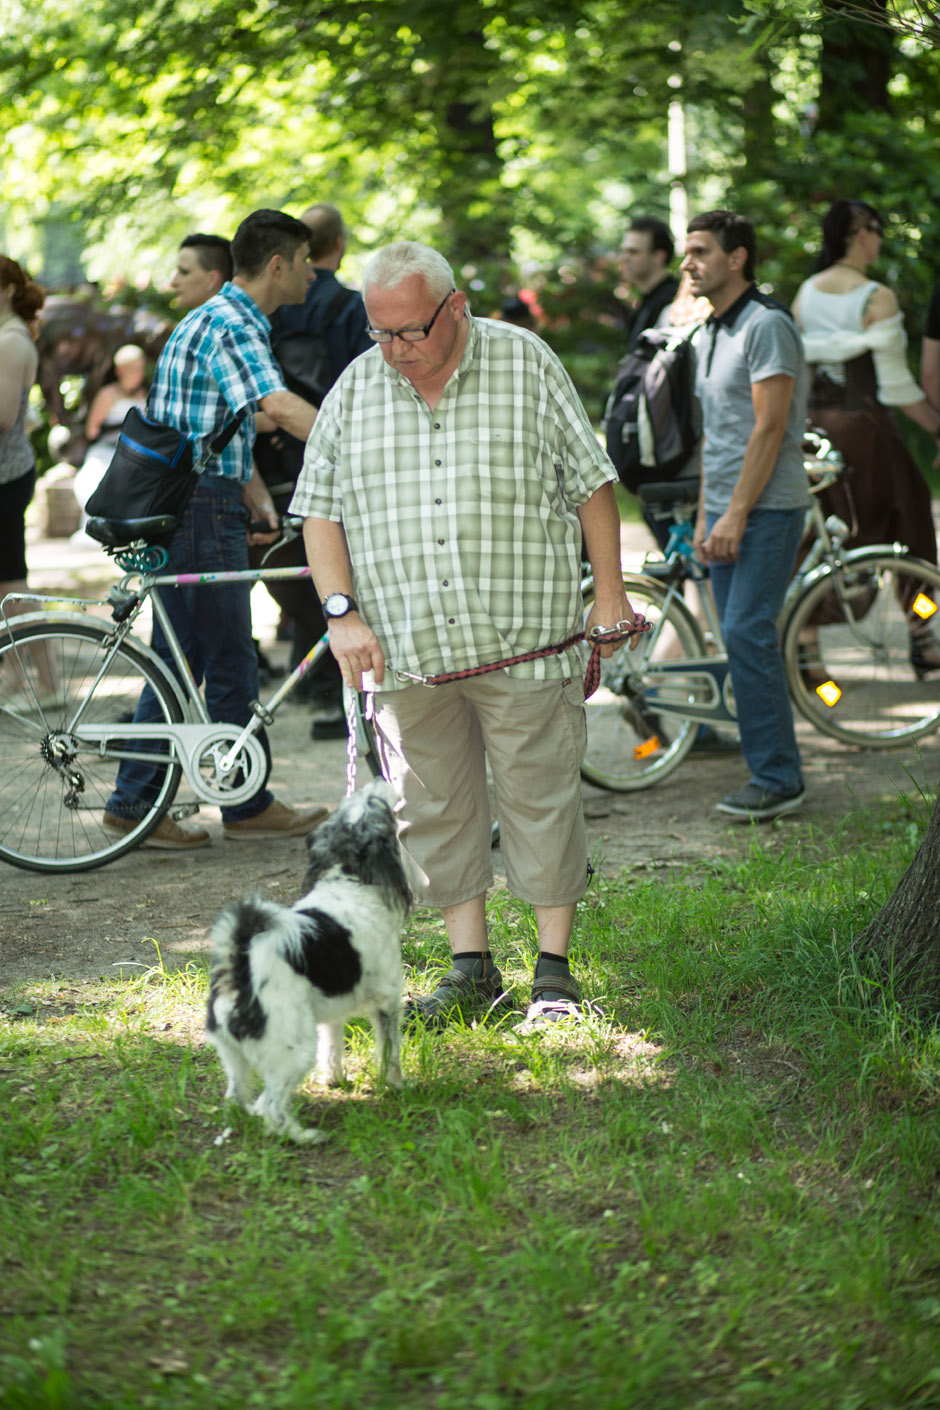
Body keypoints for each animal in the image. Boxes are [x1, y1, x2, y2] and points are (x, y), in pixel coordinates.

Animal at [204, 783, 408, 1144]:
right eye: (376, 804)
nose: (379, 781)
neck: (350, 880)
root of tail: (241, 973)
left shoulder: (332, 1012)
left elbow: (333, 1047)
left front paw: (335, 1079)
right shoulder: (386, 1001)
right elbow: (390, 1049)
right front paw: (395, 1084)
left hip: (233, 1056)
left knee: (236, 1095)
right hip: (294, 1051)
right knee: (269, 1106)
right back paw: (302, 1136)